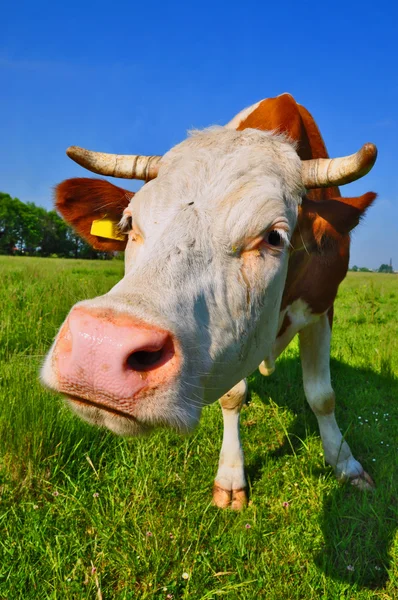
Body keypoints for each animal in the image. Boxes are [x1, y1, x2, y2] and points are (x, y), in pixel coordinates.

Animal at [42, 94, 378, 510]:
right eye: (129, 222)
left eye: (274, 237)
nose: (99, 348)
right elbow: (233, 394)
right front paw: (231, 475)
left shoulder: (323, 306)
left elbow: (322, 396)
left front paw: (345, 462)